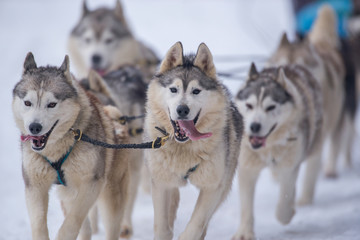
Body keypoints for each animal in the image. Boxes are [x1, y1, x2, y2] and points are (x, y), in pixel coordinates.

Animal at [12, 53, 129, 239]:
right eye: (27, 103)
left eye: (52, 104)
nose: (34, 127)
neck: (56, 150)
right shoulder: (34, 186)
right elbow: (39, 224)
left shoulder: (91, 183)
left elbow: (72, 222)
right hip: (68, 194)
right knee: (86, 228)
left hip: (110, 196)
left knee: (110, 226)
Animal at [143, 42, 242, 239]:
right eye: (173, 89)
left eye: (196, 91)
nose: (182, 109)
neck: (183, 148)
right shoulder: (160, 183)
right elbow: (162, 226)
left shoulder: (213, 186)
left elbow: (197, 223)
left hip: (224, 184)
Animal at [233, 63, 324, 240]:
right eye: (249, 105)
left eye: (271, 107)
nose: (254, 126)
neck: (268, 147)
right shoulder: (247, 169)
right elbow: (246, 205)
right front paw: (245, 232)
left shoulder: (289, 167)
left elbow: (284, 200)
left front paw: (286, 214)